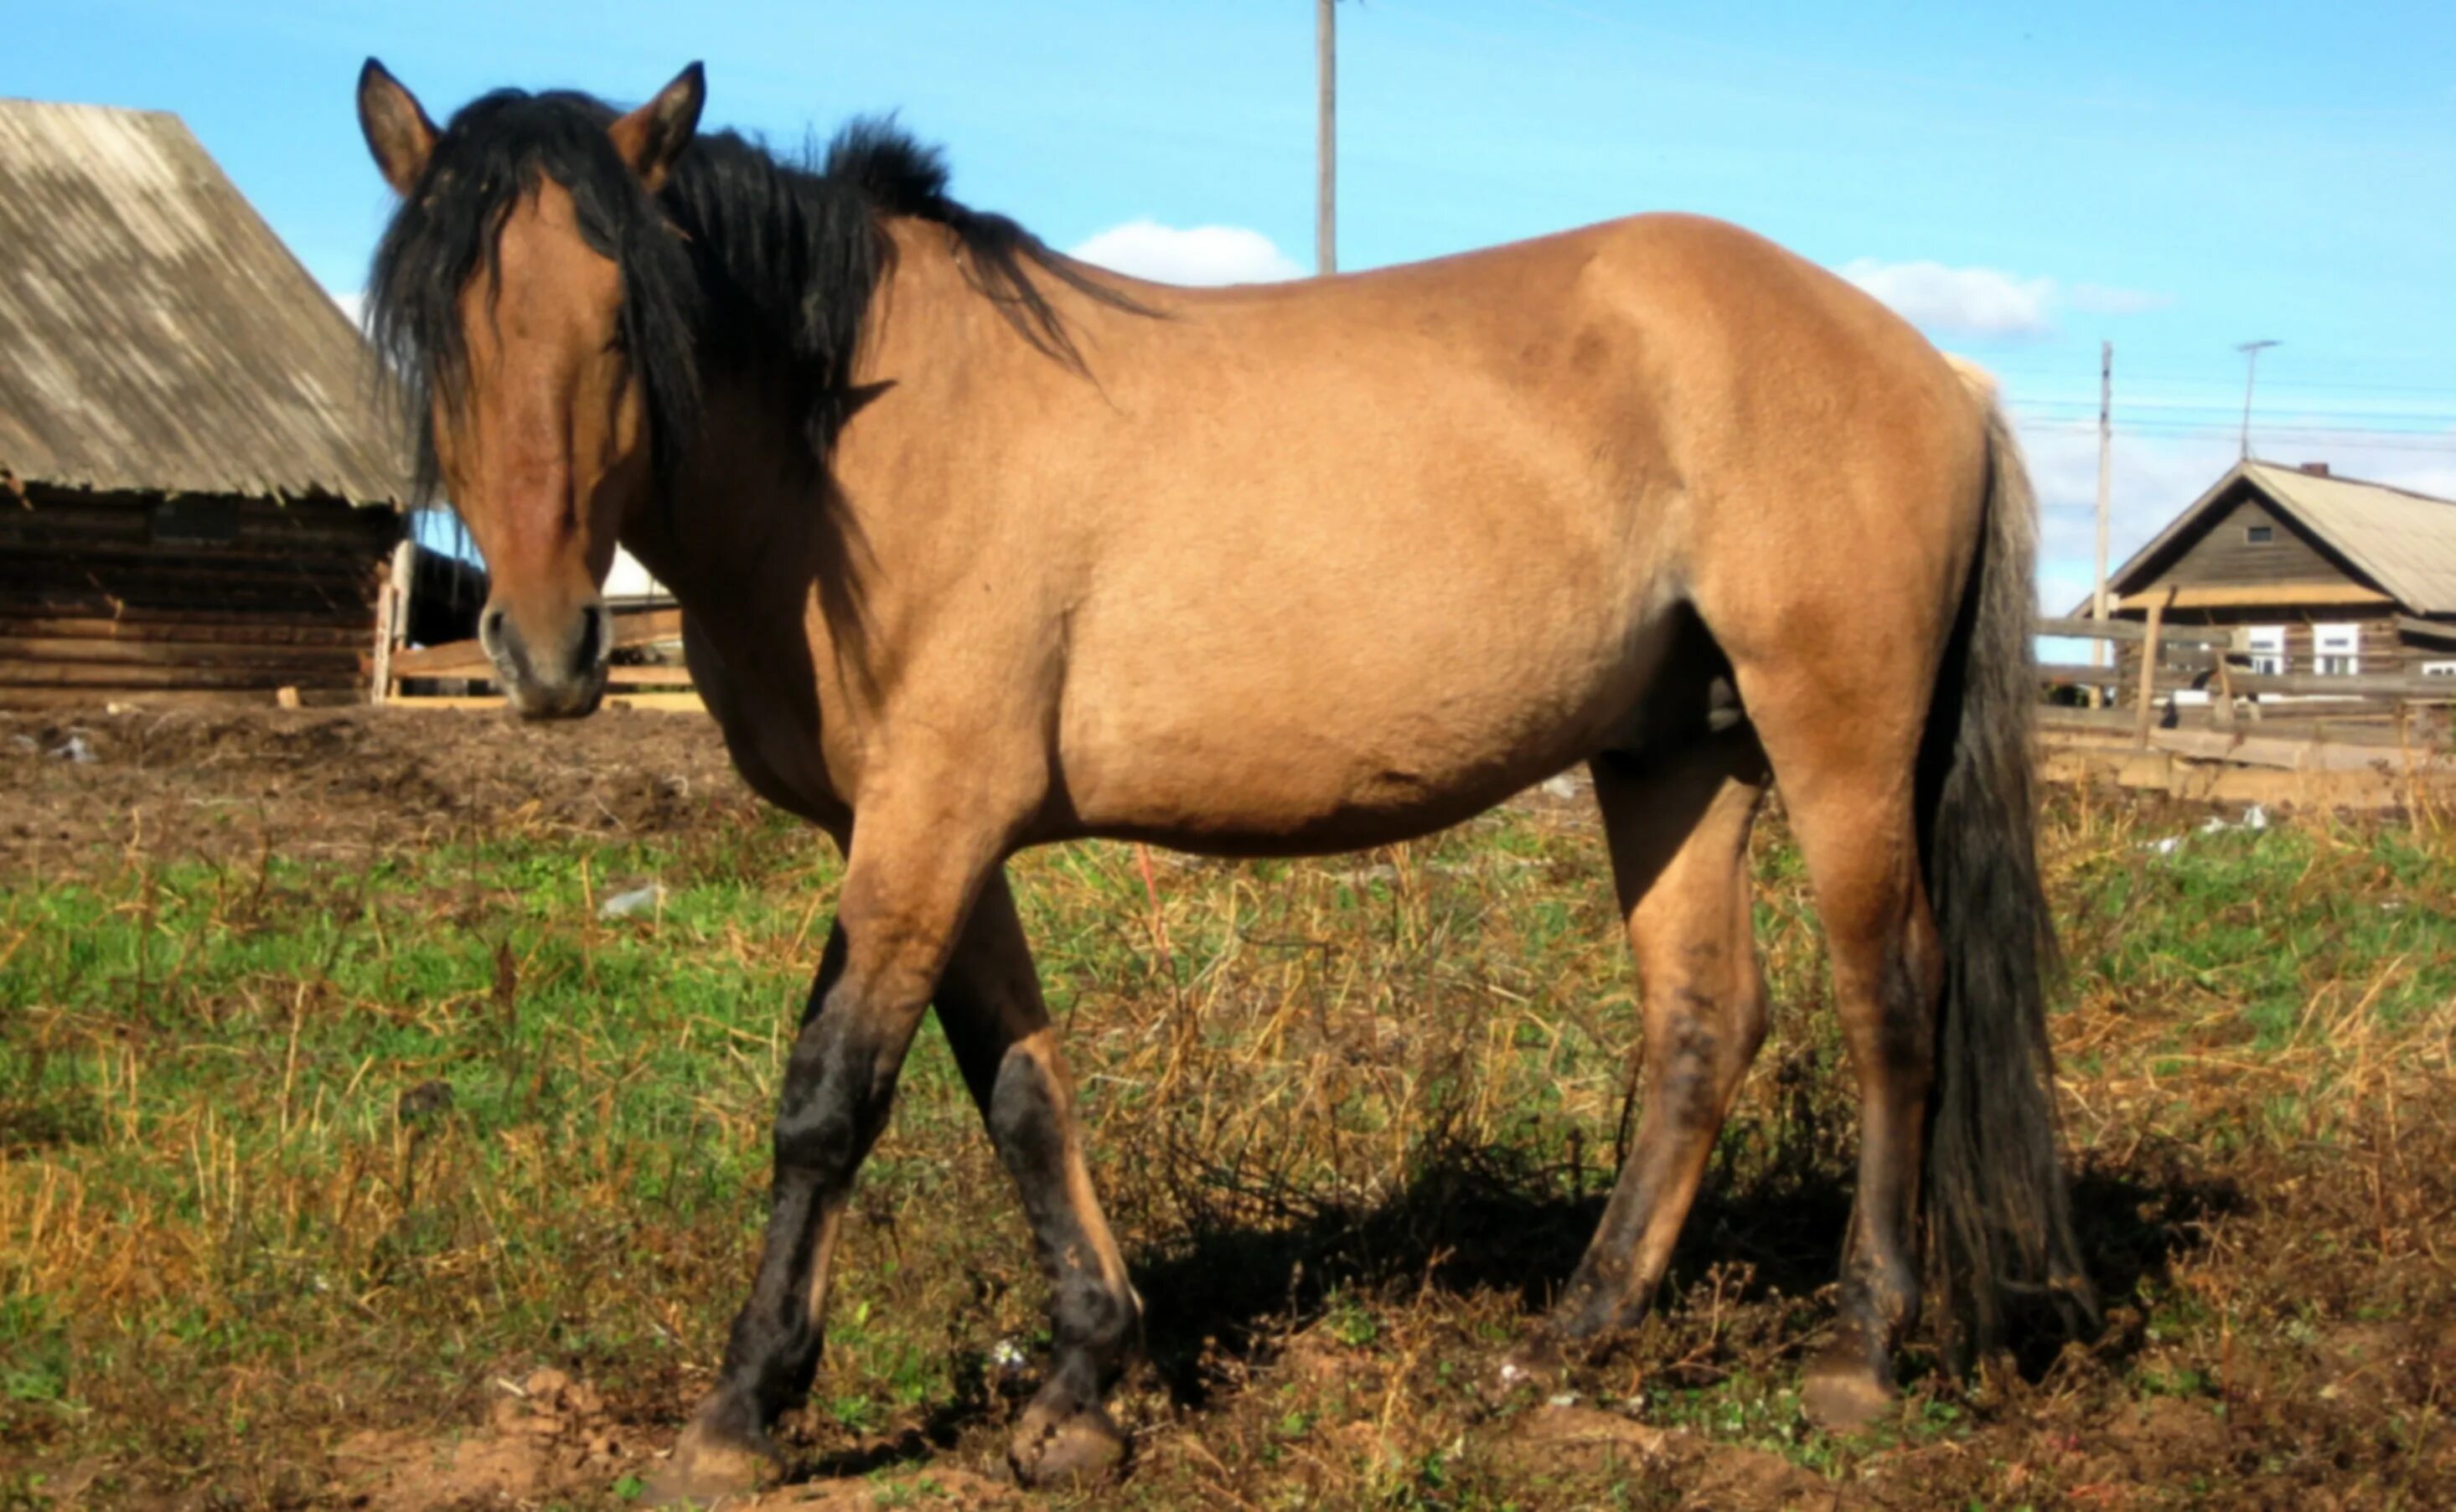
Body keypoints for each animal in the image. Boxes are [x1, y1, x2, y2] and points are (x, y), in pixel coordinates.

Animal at [358, 59, 2092, 1502]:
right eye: (440, 336)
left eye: (626, 325)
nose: (541, 648)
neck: (858, 447)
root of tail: (1937, 367)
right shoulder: (932, 834)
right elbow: (1021, 1094)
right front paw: (1081, 1384)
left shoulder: (928, 821)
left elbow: (830, 1099)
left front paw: (741, 1413)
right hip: (1674, 753)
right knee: (1702, 1023)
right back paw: (1572, 1331)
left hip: (1834, 738)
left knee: (1891, 1003)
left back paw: (1859, 1351)